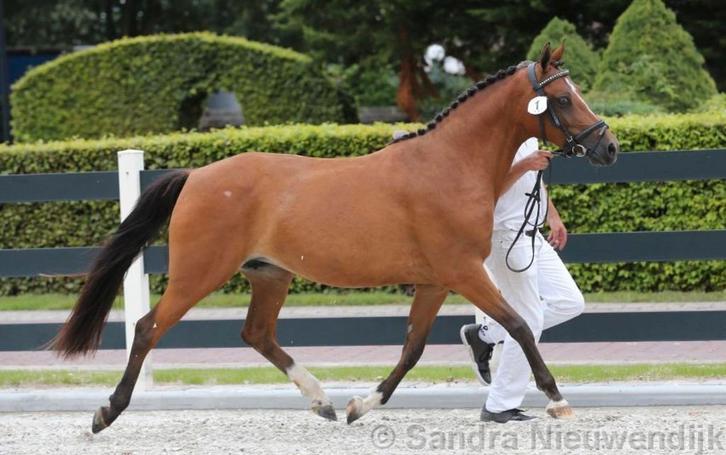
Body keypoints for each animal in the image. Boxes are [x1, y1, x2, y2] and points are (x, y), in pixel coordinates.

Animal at [51, 42, 618, 433]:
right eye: (563, 98)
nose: (608, 146)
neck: (448, 165)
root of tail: (196, 176)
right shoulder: (463, 273)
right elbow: (519, 326)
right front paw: (556, 399)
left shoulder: (435, 281)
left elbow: (413, 347)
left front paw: (359, 405)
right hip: (199, 273)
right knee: (148, 327)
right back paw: (107, 412)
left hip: (270, 276)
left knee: (257, 334)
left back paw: (321, 399)